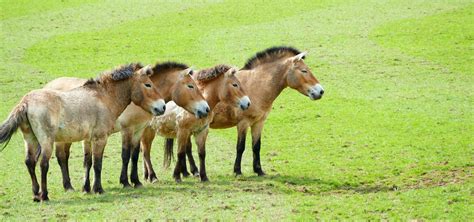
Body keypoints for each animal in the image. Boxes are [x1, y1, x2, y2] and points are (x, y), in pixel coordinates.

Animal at [0, 62, 167, 201]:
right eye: (148, 84)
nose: (162, 106)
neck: (104, 98)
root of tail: (26, 102)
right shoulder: (101, 138)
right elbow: (98, 164)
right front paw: (99, 189)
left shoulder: (90, 139)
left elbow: (89, 162)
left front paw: (88, 188)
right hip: (47, 141)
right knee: (44, 164)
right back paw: (44, 195)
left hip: (30, 139)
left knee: (30, 162)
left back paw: (36, 194)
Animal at [45, 61, 209, 189]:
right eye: (191, 86)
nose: (206, 109)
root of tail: (48, 85)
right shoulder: (127, 129)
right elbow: (125, 155)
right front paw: (125, 181)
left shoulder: (139, 129)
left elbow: (135, 155)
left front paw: (136, 181)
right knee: (62, 157)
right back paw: (68, 186)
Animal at [166, 46, 322, 177]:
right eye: (304, 71)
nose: (320, 91)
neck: (256, 85)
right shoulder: (243, 123)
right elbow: (240, 147)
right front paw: (237, 171)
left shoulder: (259, 122)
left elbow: (256, 146)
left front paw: (259, 170)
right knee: (186, 148)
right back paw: (192, 171)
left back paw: (186, 172)